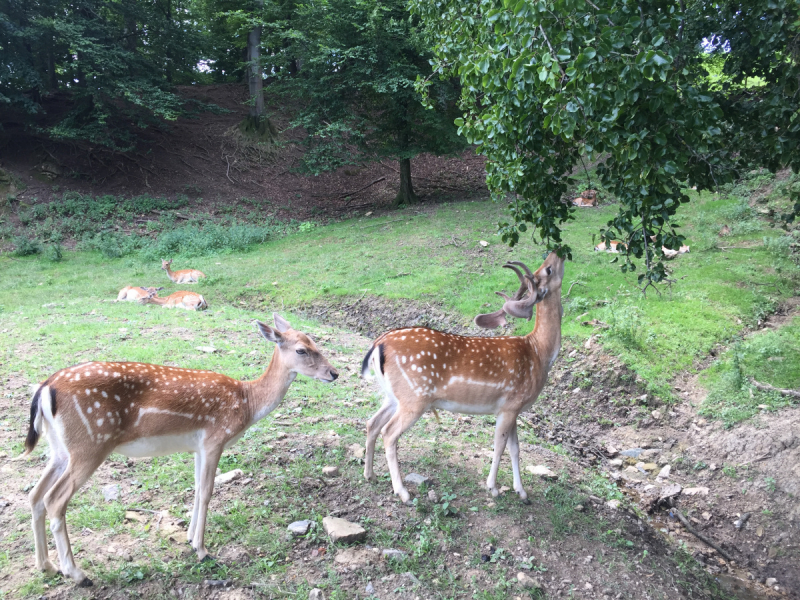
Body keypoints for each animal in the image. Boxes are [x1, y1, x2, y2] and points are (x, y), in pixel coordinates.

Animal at [18, 316, 338, 588]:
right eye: (301, 350)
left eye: (315, 341)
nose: (334, 373)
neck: (247, 403)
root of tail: (45, 388)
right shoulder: (214, 438)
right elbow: (207, 491)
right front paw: (203, 549)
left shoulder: (197, 446)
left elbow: (196, 488)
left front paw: (189, 538)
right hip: (90, 443)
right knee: (54, 500)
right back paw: (77, 573)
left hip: (60, 449)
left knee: (34, 495)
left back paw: (46, 566)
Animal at [360, 251, 564, 504]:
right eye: (547, 269)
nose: (558, 252)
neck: (538, 353)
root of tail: (378, 344)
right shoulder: (509, 406)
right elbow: (499, 446)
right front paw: (493, 488)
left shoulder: (513, 408)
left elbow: (515, 449)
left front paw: (522, 492)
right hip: (415, 397)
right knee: (389, 433)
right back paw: (403, 492)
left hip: (394, 396)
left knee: (372, 423)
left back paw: (369, 474)